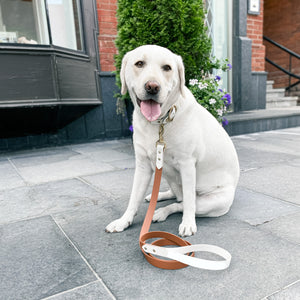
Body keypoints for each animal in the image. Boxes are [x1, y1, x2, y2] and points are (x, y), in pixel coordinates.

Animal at [105, 45, 239, 237]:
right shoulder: (143, 165)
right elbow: (133, 198)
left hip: (211, 202)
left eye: (167, 68)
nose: (152, 87)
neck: (159, 123)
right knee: (177, 196)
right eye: (139, 63)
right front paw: (124, 221)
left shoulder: (187, 164)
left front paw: (188, 223)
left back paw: (161, 212)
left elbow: (189, 202)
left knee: (181, 204)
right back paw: (160, 196)